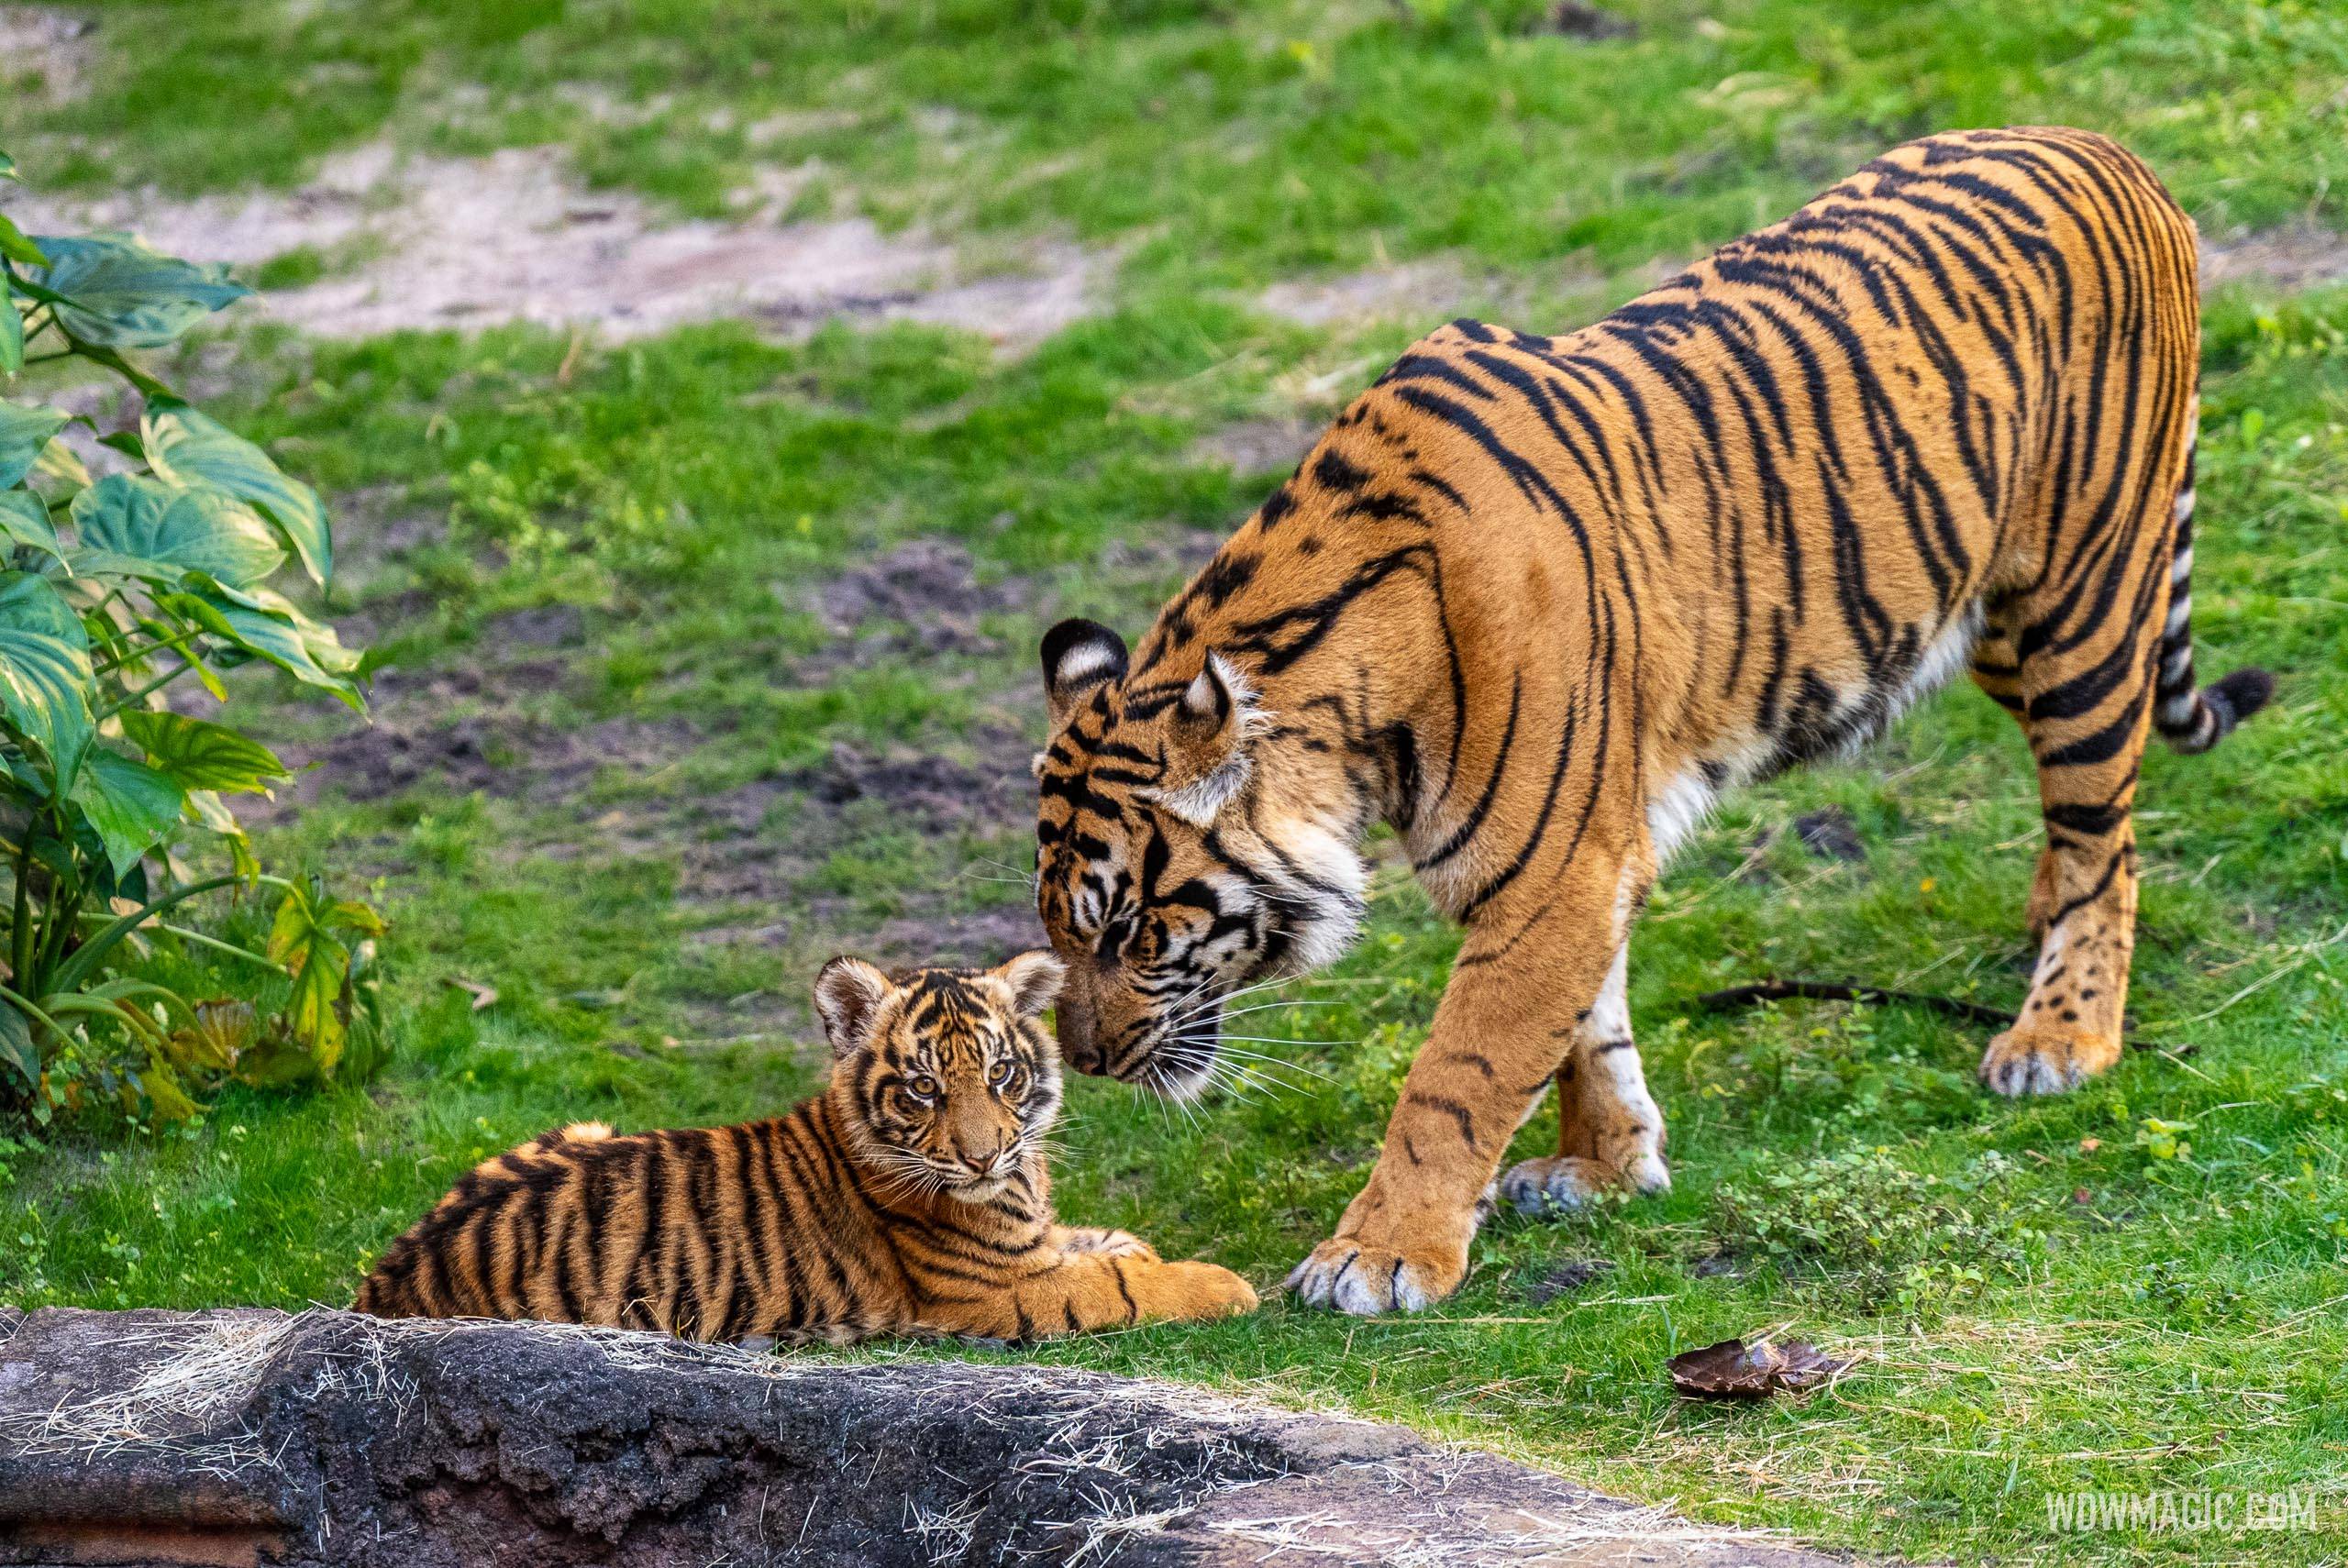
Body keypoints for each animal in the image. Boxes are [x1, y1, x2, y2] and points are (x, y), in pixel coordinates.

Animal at [1033, 128, 2273, 1314]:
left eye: (1132, 933)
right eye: (1061, 935)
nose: (1084, 1062)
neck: (1353, 720)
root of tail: (2108, 152)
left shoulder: (1550, 874)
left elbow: (1459, 1073)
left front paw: (1377, 1258)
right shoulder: (1569, 863)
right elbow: (1588, 1029)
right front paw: (1608, 1168)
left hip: (2084, 605)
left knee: (2102, 837)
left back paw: (2060, 1038)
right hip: (1991, 626)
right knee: (2098, 813)